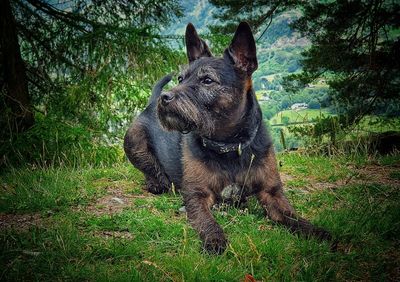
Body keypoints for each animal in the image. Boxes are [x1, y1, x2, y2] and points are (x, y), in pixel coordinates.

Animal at [125, 22, 332, 254]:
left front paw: (317, 232)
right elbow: (207, 221)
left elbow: (293, 217)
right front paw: (215, 240)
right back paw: (155, 181)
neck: (230, 146)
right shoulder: (197, 195)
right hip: (134, 140)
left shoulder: (272, 193)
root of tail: (151, 104)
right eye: (180, 78)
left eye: (207, 80)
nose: (165, 97)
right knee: (149, 168)